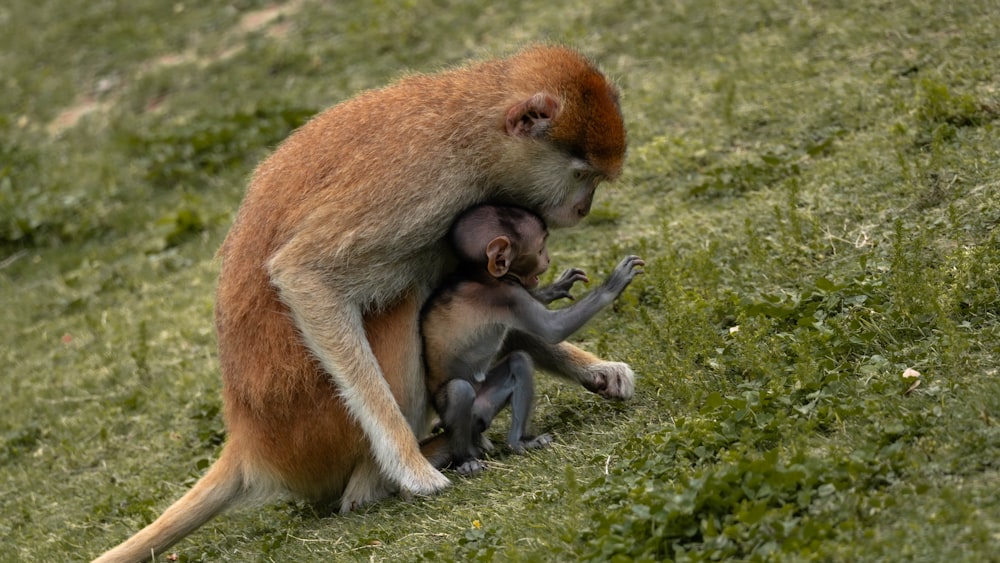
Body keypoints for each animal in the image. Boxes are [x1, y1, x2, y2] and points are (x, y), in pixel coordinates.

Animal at [420, 205, 640, 474]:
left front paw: (552, 289)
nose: (548, 260)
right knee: (460, 390)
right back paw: (466, 459)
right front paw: (612, 285)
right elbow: (552, 329)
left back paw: (517, 442)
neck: (479, 275)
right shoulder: (506, 295)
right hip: (450, 406)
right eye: (540, 248)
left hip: (485, 404)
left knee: (519, 362)